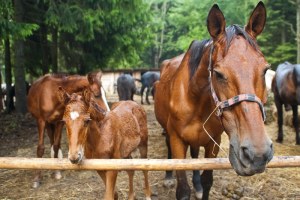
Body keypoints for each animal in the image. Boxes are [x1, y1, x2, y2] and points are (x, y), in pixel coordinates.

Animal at [154, 1, 274, 200]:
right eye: (218, 74)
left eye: (265, 70)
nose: (256, 154)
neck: (196, 100)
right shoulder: (177, 141)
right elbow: (183, 189)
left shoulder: (213, 142)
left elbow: (207, 181)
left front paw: (200, 186)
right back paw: (168, 177)